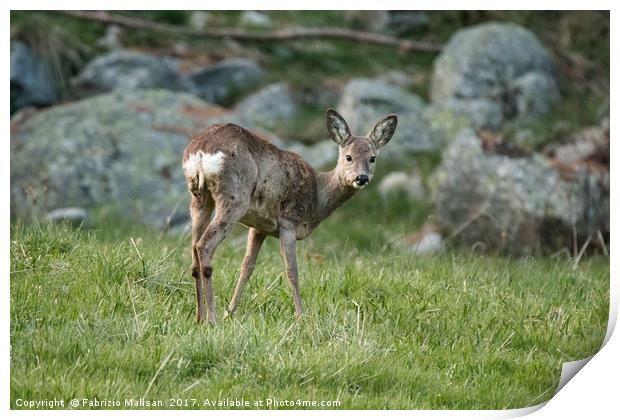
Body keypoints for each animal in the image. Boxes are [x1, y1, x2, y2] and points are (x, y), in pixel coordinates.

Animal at [183, 109, 398, 324]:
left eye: (372, 158)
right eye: (348, 157)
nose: (361, 178)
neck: (318, 197)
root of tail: (201, 151)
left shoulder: (259, 227)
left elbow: (247, 267)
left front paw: (230, 312)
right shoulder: (288, 221)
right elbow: (291, 270)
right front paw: (301, 316)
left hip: (200, 198)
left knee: (194, 252)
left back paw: (199, 317)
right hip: (234, 198)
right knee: (204, 245)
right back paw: (212, 318)